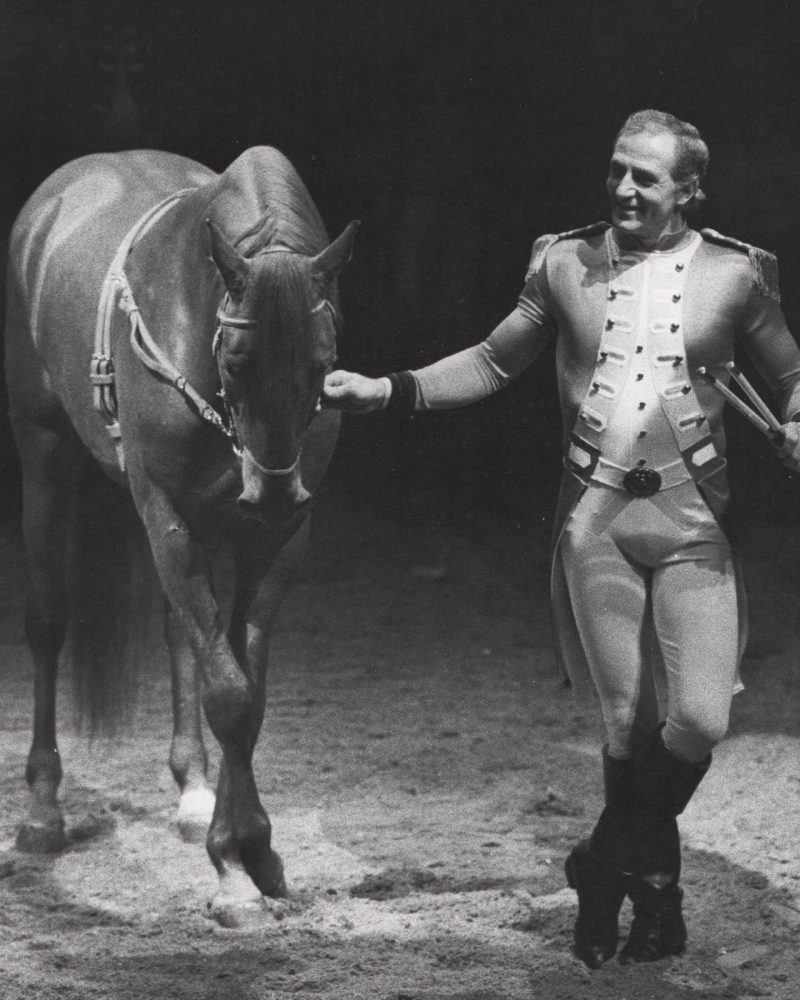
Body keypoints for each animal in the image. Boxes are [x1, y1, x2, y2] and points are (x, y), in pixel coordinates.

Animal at [3, 146, 360, 920]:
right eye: (236, 361)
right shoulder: (167, 512)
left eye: (322, 362)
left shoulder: (279, 538)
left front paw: (254, 850)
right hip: (43, 447)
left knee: (180, 635)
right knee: (47, 622)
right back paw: (43, 811)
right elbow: (228, 693)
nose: (273, 488)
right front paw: (234, 871)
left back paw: (193, 793)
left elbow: (244, 686)